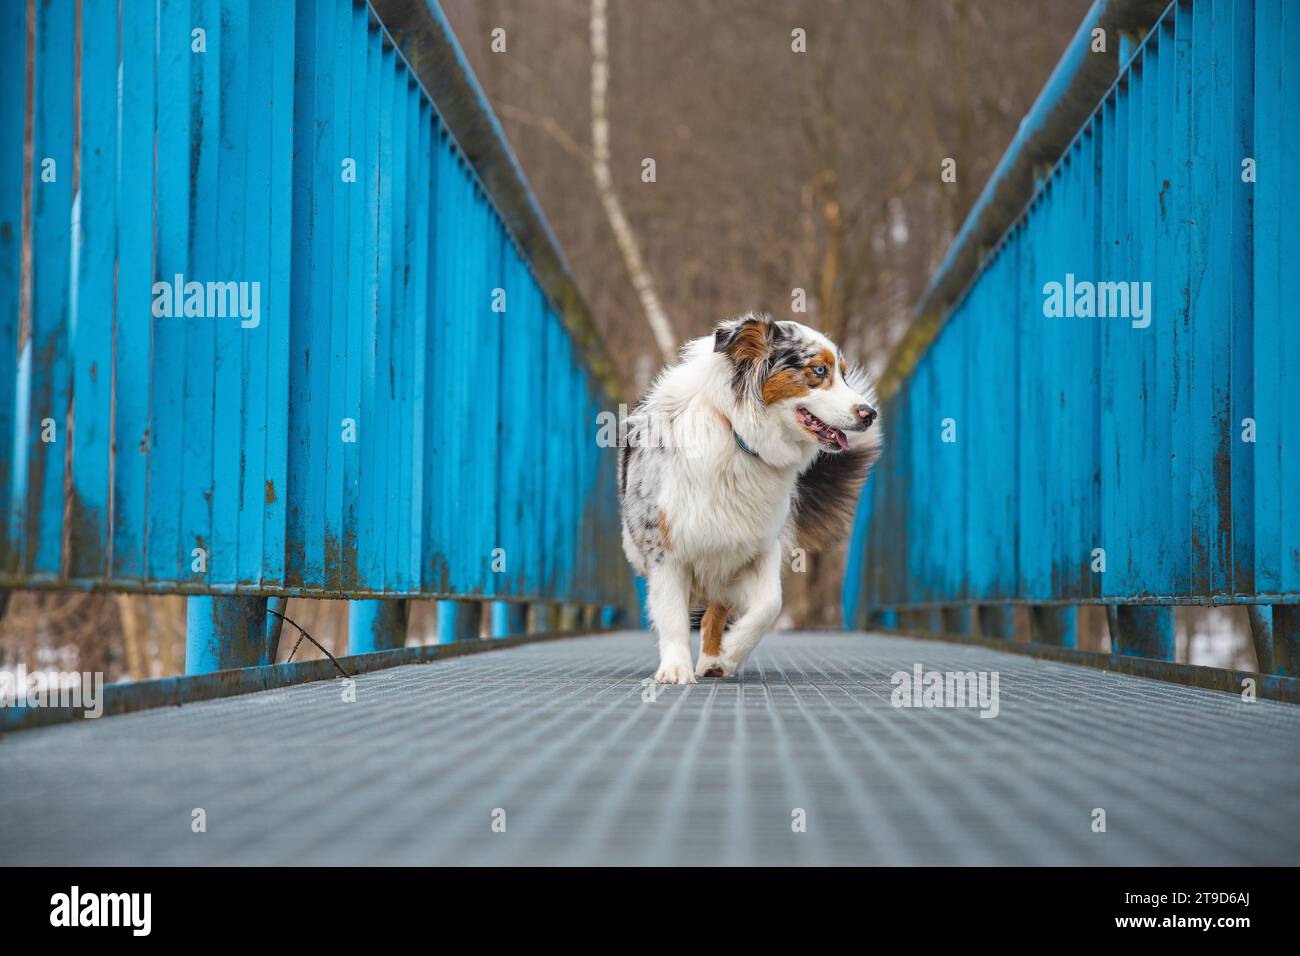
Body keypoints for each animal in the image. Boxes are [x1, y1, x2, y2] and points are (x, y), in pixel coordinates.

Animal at [618, 312, 883, 681]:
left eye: (843, 372)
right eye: (818, 370)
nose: (869, 413)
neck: (738, 435)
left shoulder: (758, 544)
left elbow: (770, 605)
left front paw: (730, 653)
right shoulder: (666, 548)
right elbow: (671, 614)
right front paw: (675, 669)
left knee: (716, 609)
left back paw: (713, 660)